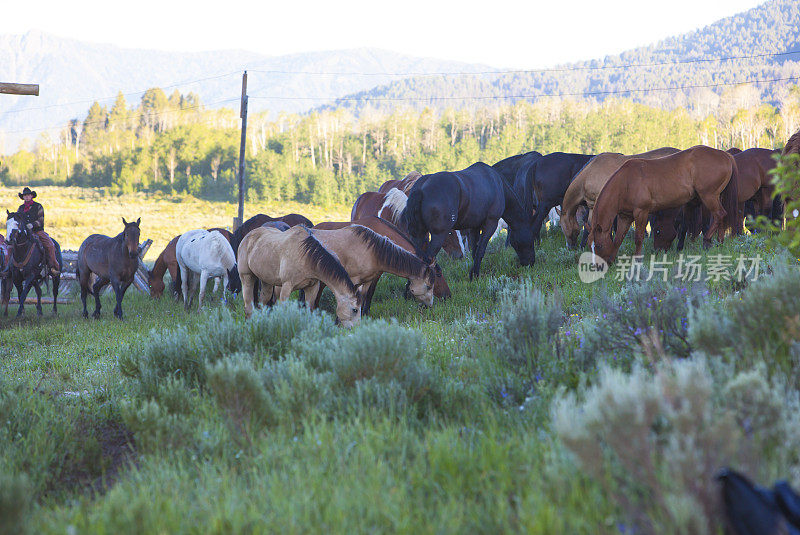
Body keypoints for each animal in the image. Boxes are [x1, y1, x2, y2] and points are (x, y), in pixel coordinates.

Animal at [400, 162, 536, 280]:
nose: (530, 262)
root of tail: (421, 188)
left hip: (419, 235)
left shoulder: (474, 227)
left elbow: (474, 251)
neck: (498, 184)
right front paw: (475, 275)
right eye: (531, 239)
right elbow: (480, 250)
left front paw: (473, 274)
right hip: (438, 235)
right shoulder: (490, 224)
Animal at [588, 146, 736, 264]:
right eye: (590, 246)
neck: (626, 182)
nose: (598, 266)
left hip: (709, 196)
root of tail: (725, 155)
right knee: (721, 217)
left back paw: (707, 240)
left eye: (599, 246)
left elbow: (639, 238)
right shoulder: (625, 216)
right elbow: (618, 238)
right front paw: (613, 259)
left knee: (719, 214)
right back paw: (719, 242)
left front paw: (637, 259)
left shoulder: (641, 212)